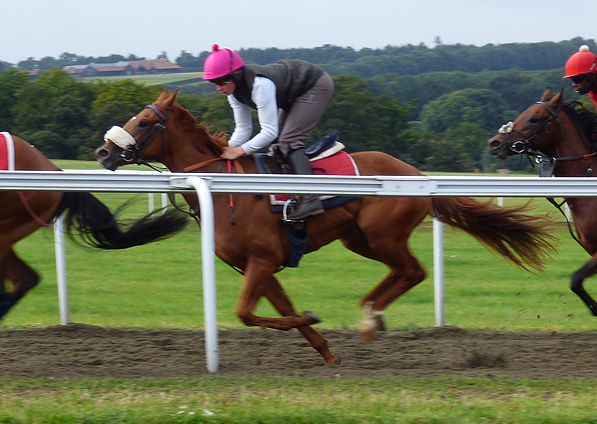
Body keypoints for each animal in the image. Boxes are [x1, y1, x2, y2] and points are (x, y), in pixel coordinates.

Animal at [95, 89, 552, 364]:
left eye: (142, 122)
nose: (103, 152)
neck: (227, 187)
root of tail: (417, 174)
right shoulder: (258, 266)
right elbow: (279, 311)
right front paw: (325, 347)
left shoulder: (263, 260)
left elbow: (247, 313)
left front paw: (314, 319)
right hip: (359, 239)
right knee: (403, 272)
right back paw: (373, 314)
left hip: (383, 235)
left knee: (413, 271)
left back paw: (370, 316)